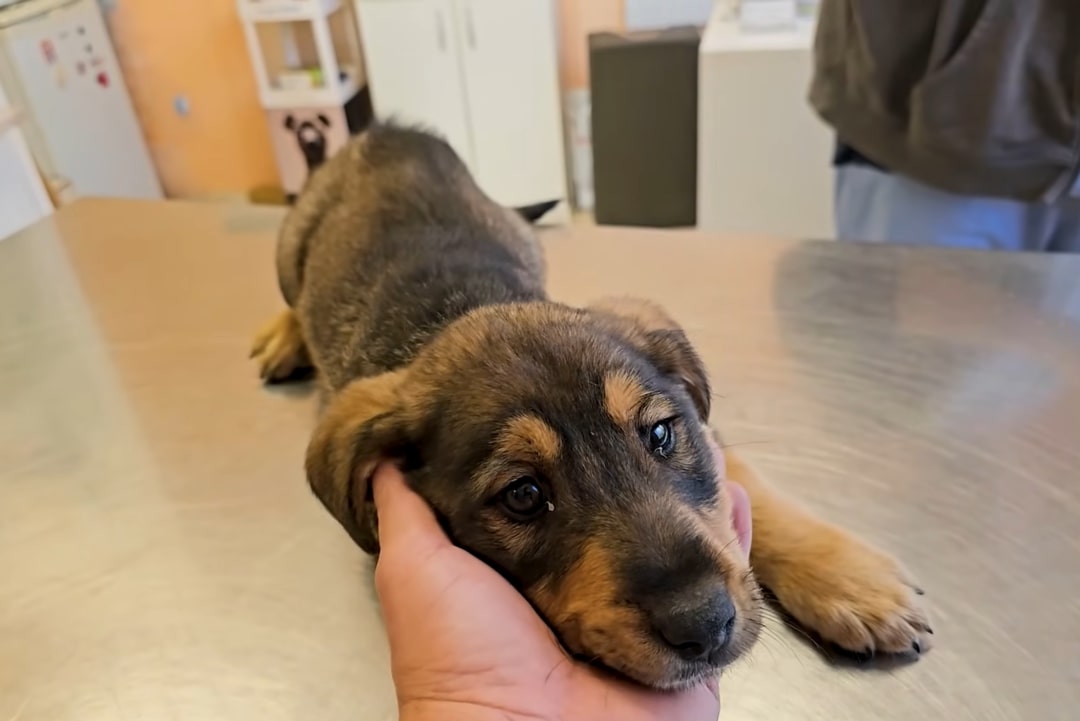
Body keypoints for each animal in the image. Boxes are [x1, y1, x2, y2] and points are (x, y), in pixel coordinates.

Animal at [250, 122, 928, 686]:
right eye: (523, 496)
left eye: (660, 435)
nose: (704, 625)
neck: (460, 306)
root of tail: (393, 131)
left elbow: (752, 488)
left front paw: (854, 582)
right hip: (289, 249)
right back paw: (284, 335)